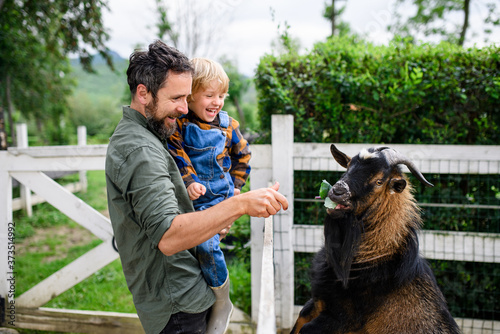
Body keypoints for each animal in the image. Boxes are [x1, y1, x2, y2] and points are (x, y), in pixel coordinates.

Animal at [292, 145, 460, 334]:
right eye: (348, 167)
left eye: (379, 181)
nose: (337, 192)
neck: (374, 255)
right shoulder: (319, 302)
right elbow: (301, 317)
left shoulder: (342, 318)